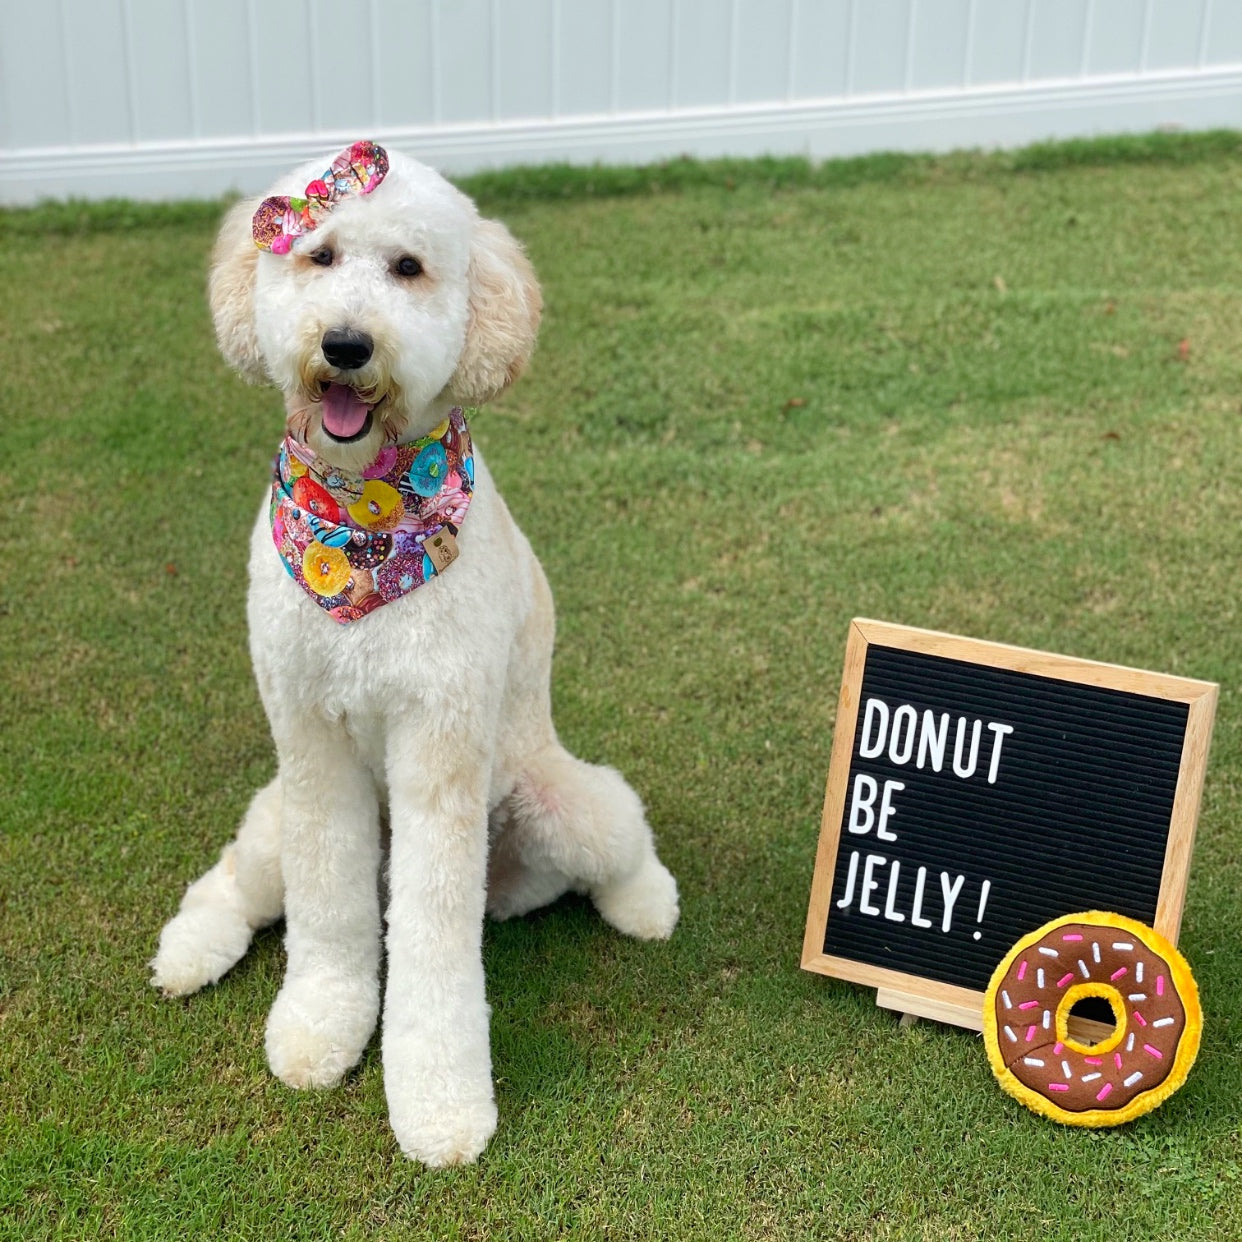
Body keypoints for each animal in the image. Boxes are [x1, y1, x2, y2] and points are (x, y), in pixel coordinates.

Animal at [152, 140, 690, 1167]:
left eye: (408, 268)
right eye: (318, 255)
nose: (346, 345)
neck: (364, 518)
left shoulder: (438, 740)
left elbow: (435, 945)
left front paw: (440, 1104)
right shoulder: (310, 740)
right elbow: (326, 912)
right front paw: (320, 1025)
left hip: (555, 799)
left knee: (617, 837)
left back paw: (647, 904)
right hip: (277, 816)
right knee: (236, 880)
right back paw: (188, 952)